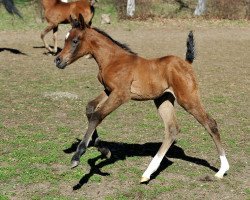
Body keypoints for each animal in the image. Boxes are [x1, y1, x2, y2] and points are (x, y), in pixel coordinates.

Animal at [54, 15, 229, 184]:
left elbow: (97, 116)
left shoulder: (121, 95)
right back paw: (147, 174)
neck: (113, 59)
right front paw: (104, 150)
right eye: (66, 39)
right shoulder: (109, 90)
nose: (58, 60)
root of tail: (186, 63)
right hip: (163, 100)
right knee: (172, 129)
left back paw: (222, 170)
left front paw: (77, 156)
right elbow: (90, 108)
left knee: (210, 123)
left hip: (188, 99)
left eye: (75, 41)